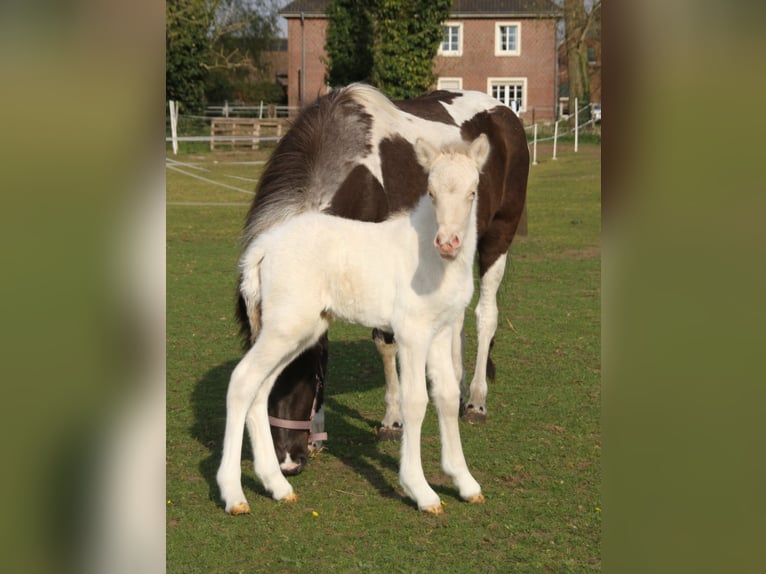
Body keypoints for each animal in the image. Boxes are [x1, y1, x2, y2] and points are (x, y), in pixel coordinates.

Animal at [217, 135, 490, 515]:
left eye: (473, 192)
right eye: (431, 192)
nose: (448, 242)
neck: (434, 260)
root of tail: (264, 246)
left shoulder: (441, 329)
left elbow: (448, 396)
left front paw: (464, 482)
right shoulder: (412, 332)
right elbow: (416, 401)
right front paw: (420, 490)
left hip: (299, 332)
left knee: (260, 388)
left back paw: (277, 485)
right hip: (285, 328)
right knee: (242, 381)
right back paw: (234, 495)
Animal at [235, 83, 529, 475]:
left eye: (306, 375)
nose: (287, 461)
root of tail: (503, 111)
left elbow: (385, 341)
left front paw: (393, 419)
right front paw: (317, 432)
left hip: (498, 235)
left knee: (486, 316)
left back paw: (476, 400)